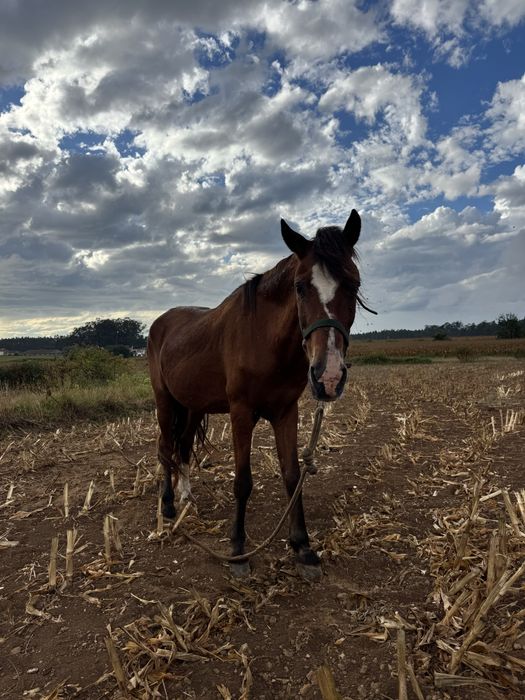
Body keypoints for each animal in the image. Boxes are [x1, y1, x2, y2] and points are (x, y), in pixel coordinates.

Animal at [148, 209, 364, 578]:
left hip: (192, 406)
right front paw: (238, 550)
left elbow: (292, 475)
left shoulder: (286, 412)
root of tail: (159, 323)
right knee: (166, 449)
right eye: (300, 287)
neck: (263, 339)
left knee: (184, 446)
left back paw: (187, 496)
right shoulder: (241, 413)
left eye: (354, 284)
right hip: (165, 402)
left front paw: (303, 547)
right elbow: (243, 481)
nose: (329, 376)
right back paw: (168, 507)